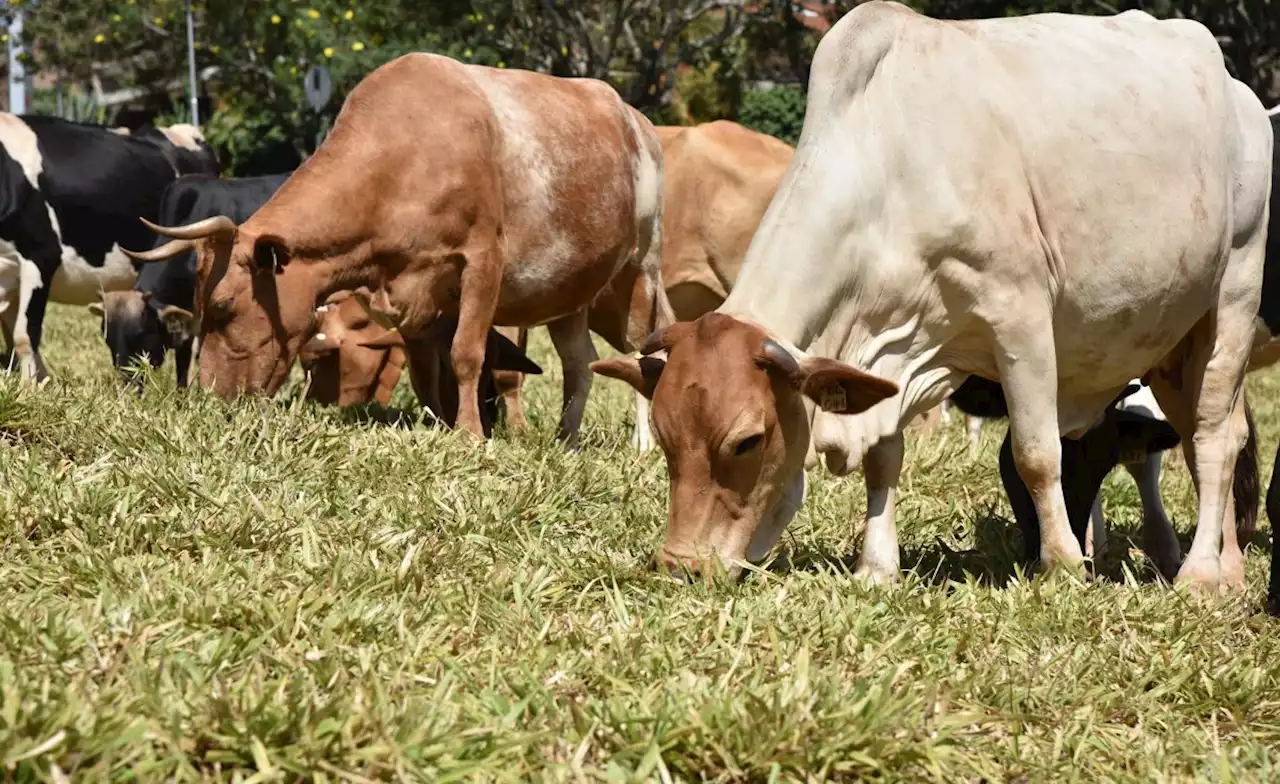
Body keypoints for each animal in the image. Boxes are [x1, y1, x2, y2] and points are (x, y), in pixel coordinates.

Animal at [136, 53, 670, 448]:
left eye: (224, 305)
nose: (208, 399)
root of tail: (635, 119)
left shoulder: (483, 259)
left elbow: (466, 353)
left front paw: (470, 435)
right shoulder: (413, 292)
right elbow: (425, 371)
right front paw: (437, 425)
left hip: (641, 268)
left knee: (642, 347)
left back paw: (643, 442)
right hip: (569, 290)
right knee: (579, 363)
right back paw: (566, 438)